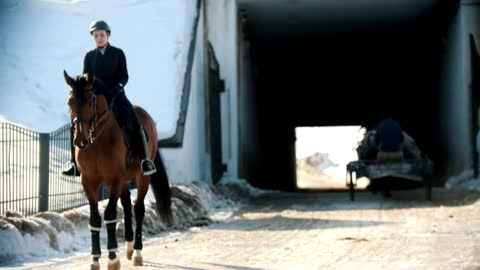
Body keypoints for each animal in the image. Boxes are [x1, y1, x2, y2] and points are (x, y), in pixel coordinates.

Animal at [63, 71, 172, 270]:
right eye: (70, 102)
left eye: (89, 100)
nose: (80, 140)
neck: (97, 141)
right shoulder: (88, 182)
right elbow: (94, 219)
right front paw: (95, 259)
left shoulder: (114, 179)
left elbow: (110, 215)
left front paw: (112, 258)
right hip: (123, 180)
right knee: (127, 205)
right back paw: (128, 247)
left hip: (141, 177)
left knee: (138, 209)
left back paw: (137, 253)